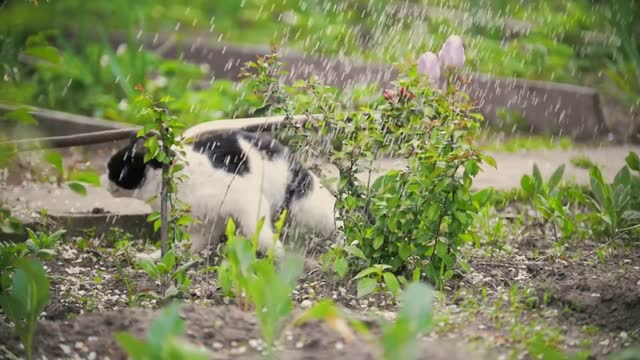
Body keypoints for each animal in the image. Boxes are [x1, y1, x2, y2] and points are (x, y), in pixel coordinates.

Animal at [102, 129, 338, 258]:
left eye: (113, 168)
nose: (102, 179)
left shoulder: (245, 198)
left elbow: (259, 233)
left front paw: (275, 253)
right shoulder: (203, 224)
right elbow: (186, 246)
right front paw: (156, 257)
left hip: (303, 202)